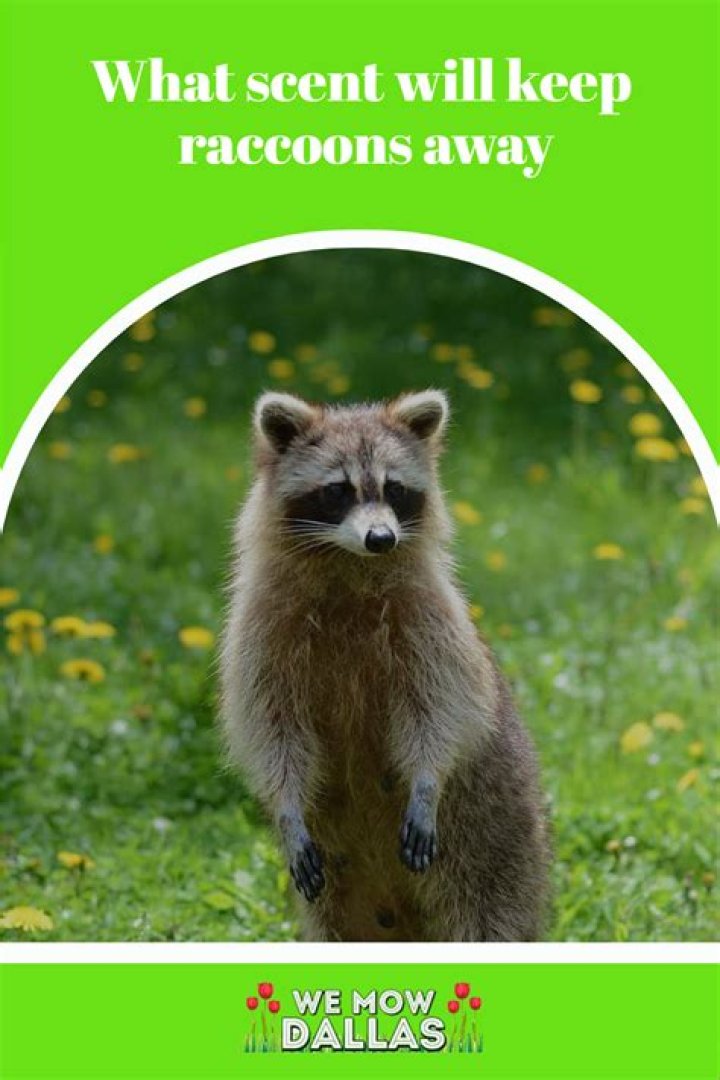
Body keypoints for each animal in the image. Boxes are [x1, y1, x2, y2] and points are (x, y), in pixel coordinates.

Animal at [220, 389, 549, 941]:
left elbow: (442, 707)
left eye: (394, 488)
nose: (381, 538)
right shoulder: (262, 631)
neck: (350, 564)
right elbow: (271, 727)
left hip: (496, 835)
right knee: (339, 923)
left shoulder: (430, 620)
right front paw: (286, 807)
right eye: (338, 491)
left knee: (489, 913)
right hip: (344, 884)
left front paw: (426, 781)